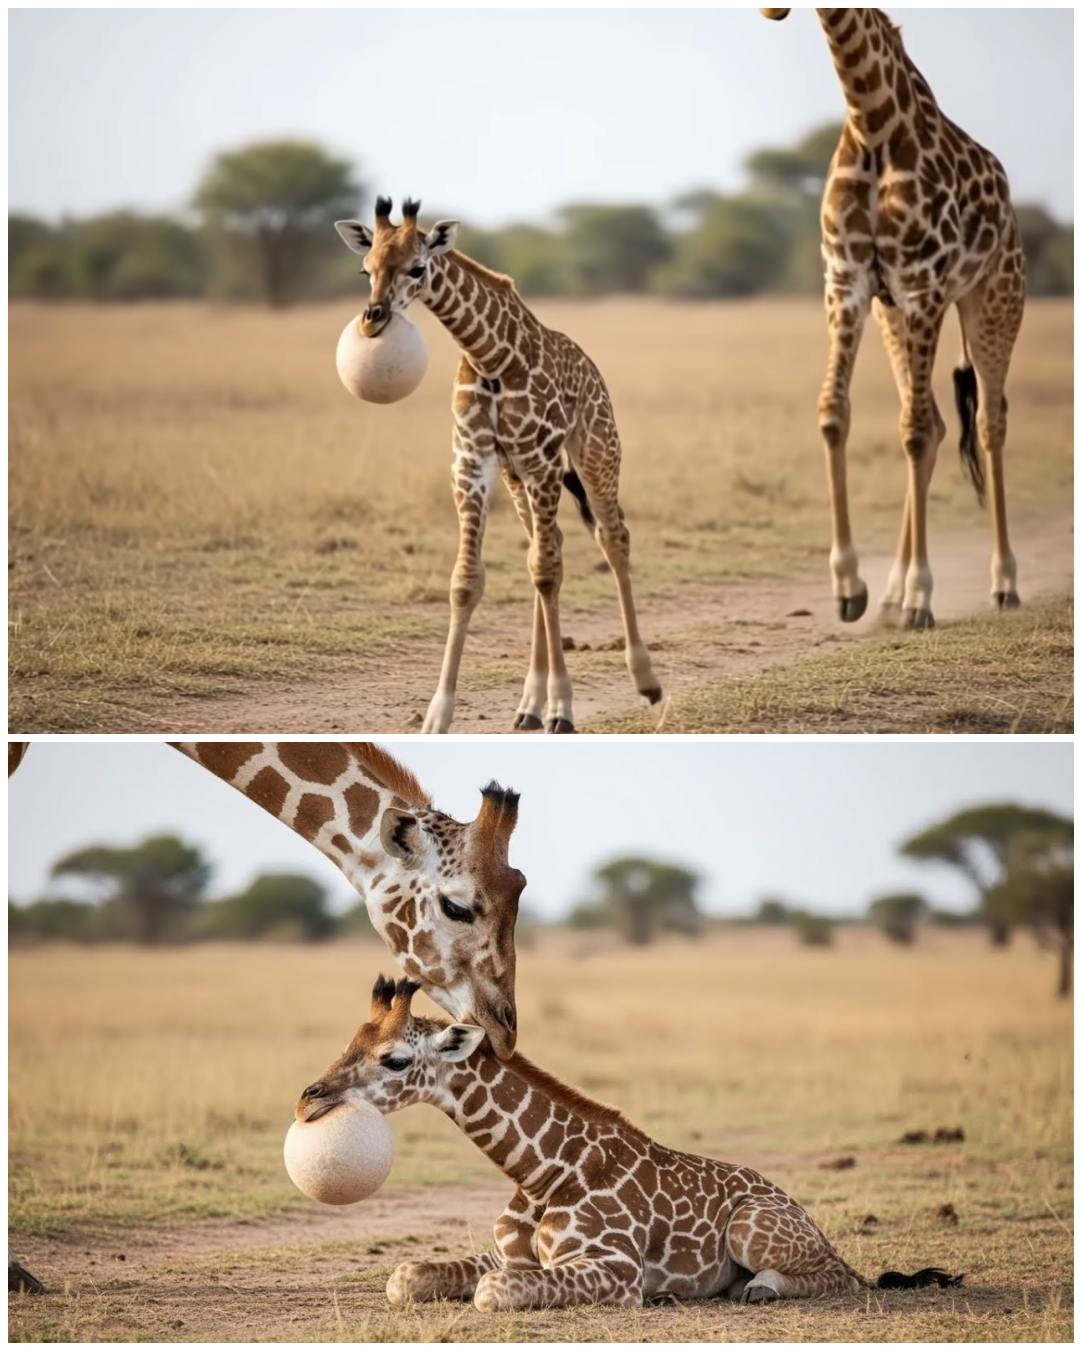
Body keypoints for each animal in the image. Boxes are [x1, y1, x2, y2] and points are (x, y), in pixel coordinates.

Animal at [297, 977, 963, 1311]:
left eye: (394, 1058)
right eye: (351, 1039)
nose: (308, 1100)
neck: (541, 1172)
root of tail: (800, 1209)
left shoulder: (614, 1269)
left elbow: (491, 1294)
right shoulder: (513, 1255)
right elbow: (406, 1276)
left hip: (754, 1229)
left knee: (844, 1276)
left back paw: (761, 1287)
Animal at [335, 198, 662, 734]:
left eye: (417, 267)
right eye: (366, 269)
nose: (372, 321)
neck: (489, 356)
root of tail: (594, 370)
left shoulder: (543, 460)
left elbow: (547, 572)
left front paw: (563, 709)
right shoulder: (472, 465)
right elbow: (468, 581)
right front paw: (438, 715)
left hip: (595, 454)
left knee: (611, 539)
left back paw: (645, 681)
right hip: (517, 477)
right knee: (548, 547)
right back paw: (529, 706)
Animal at [760, 8, 1026, 629]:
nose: (771, 10)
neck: (873, 122)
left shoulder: (922, 281)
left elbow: (911, 431)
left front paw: (922, 598)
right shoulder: (848, 281)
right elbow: (835, 414)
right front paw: (849, 586)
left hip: (994, 299)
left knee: (988, 422)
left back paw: (1003, 585)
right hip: (893, 317)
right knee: (938, 422)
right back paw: (890, 594)